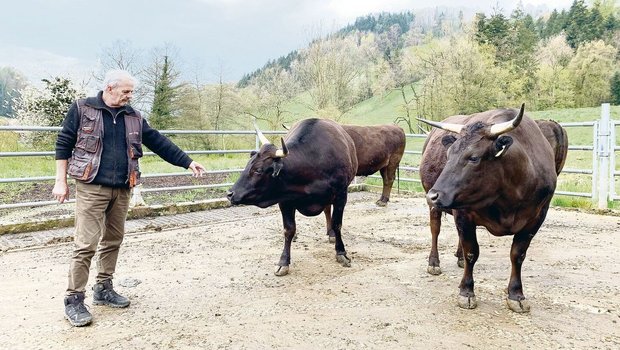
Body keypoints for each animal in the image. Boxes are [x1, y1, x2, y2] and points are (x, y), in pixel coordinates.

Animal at [228, 119, 356, 276]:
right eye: (247, 165)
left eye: (258, 170)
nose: (230, 194)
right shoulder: (285, 201)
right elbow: (288, 230)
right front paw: (283, 262)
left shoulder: (341, 195)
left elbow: (337, 224)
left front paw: (341, 253)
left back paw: (331, 234)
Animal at [418, 104, 568, 312]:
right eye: (448, 155)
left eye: (474, 158)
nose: (433, 195)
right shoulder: (464, 213)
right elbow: (472, 251)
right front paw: (466, 292)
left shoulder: (536, 217)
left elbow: (518, 254)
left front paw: (516, 294)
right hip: (437, 206)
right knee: (435, 229)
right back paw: (434, 262)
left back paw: (459, 258)